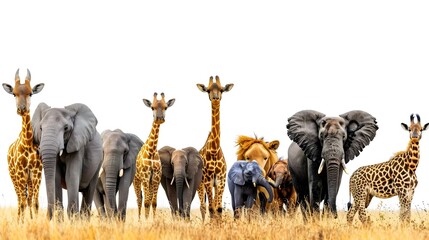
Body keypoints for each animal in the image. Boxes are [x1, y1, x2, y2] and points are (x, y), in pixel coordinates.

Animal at [2, 68, 44, 222]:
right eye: (14, 93)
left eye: (30, 93)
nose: (21, 109)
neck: (27, 143)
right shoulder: (20, 172)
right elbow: (23, 202)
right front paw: (23, 223)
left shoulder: (36, 172)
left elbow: (35, 202)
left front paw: (34, 222)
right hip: (13, 176)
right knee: (20, 200)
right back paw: (19, 220)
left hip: (28, 180)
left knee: (28, 199)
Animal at [197, 76, 234, 220]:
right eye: (208, 90)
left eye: (222, 89)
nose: (215, 97)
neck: (214, 150)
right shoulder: (207, 179)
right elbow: (211, 209)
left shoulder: (220, 179)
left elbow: (218, 209)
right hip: (199, 184)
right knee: (203, 207)